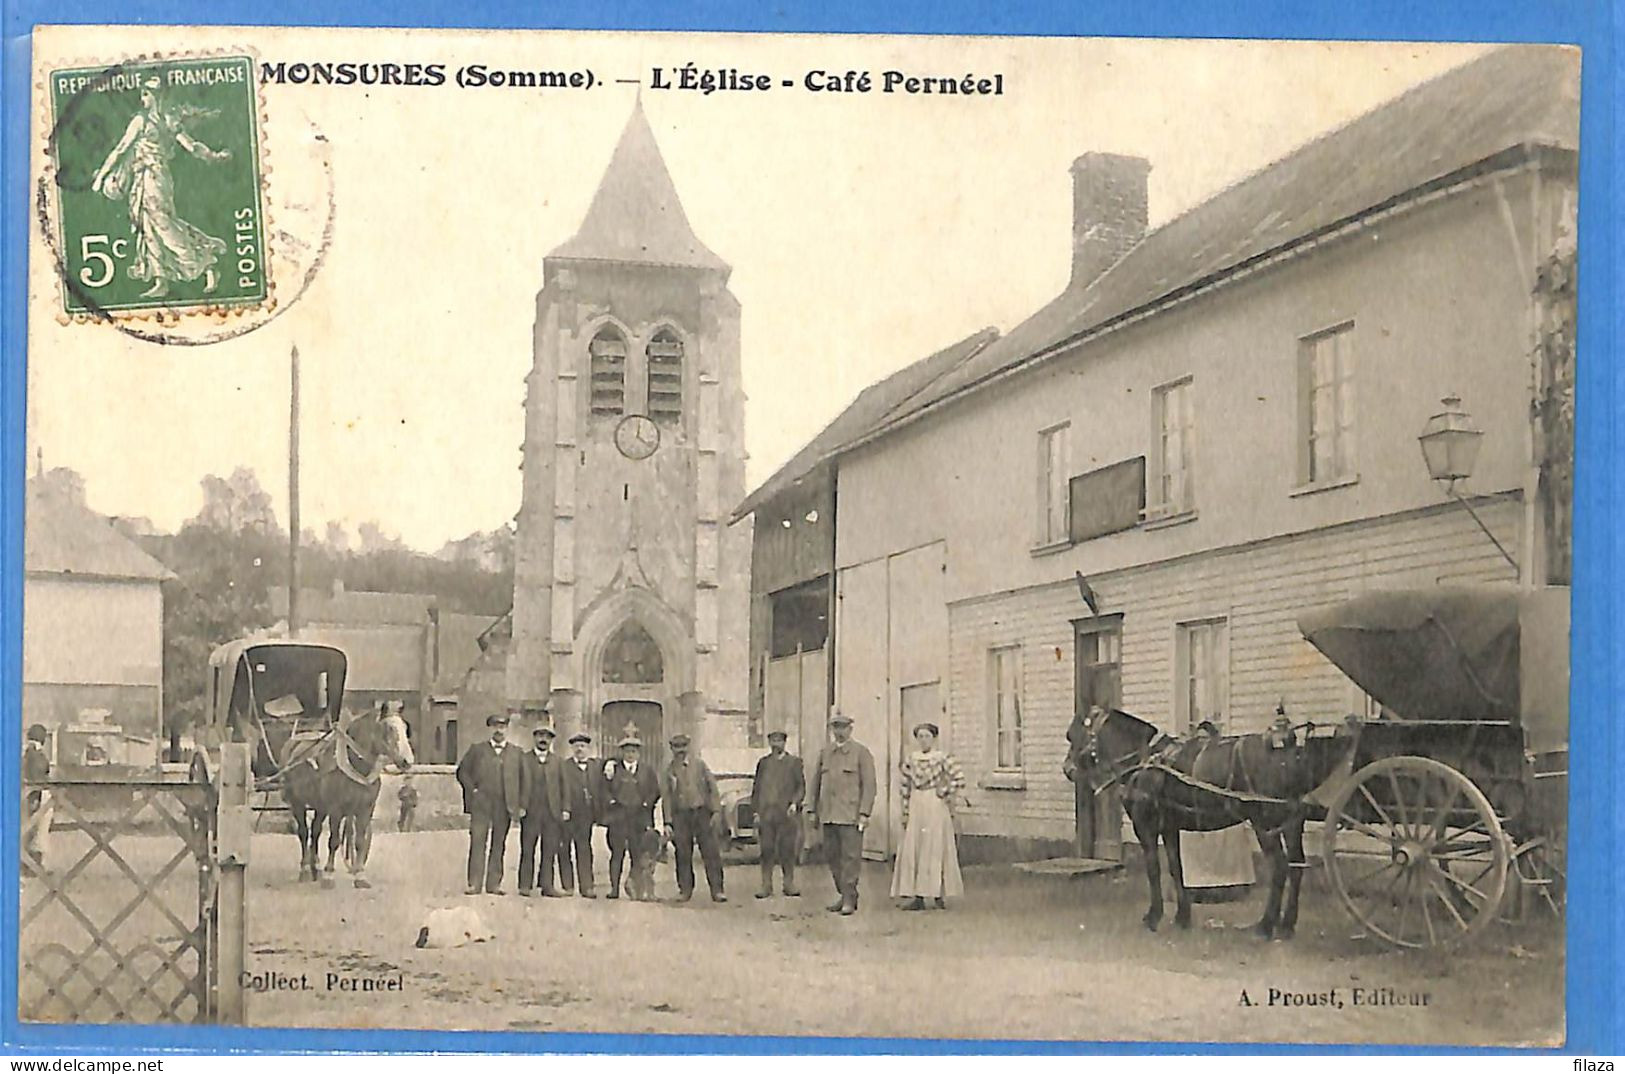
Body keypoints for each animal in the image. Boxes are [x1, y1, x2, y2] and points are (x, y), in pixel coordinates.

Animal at [276, 698, 412, 883]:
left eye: (405, 727)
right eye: (388, 728)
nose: (407, 761)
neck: (356, 765)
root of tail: (293, 741)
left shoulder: (365, 809)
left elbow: (359, 840)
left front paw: (359, 874)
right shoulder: (336, 809)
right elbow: (334, 840)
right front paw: (329, 874)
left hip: (320, 806)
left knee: (316, 830)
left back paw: (315, 867)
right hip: (297, 803)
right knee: (304, 832)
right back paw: (305, 869)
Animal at [1066, 705, 1358, 935]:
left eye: (1072, 735)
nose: (1067, 768)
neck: (1143, 760)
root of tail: (1287, 751)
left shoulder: (1145, 826)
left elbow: (1153, 869)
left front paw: (1154, 915)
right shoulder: (1169, 827)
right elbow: (1176, 868)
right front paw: (1182, 916)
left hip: (1264, 823)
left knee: (1280, 867)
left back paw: (1266, 924)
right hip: (1290, 823)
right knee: (1296, 865)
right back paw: (1286, 924)